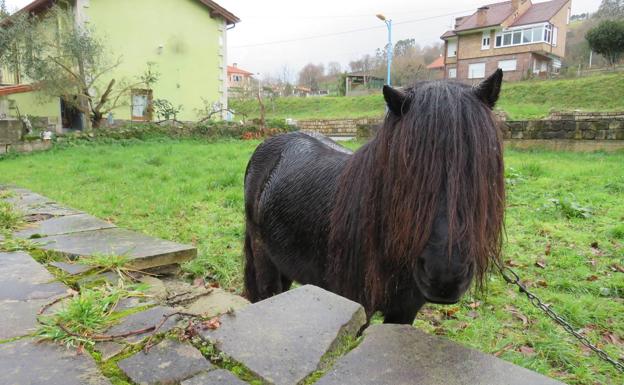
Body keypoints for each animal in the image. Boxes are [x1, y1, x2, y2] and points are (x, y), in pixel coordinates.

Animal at [241, 70, 504, 322]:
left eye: (483, 162)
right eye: (407, 165)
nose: (445, 277)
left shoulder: (405, 311)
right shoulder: (357, 306)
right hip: (264, 259)